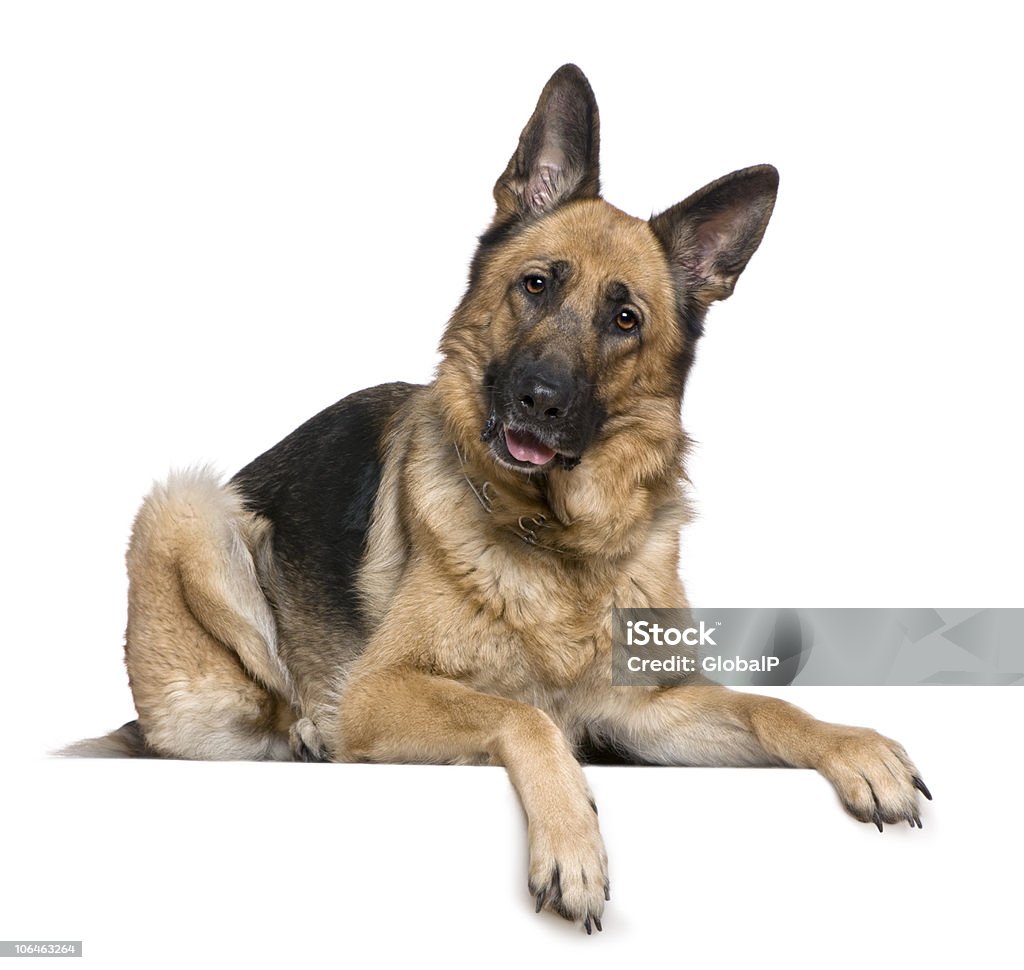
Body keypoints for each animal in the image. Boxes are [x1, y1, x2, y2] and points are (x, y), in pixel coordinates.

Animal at [72, 64, 933, 930]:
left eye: (626, 319)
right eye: (537, 284)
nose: (539, 399)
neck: (554, 537)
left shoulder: (642, 708)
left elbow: (767, 708)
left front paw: (854, 745)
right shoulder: (382, 691)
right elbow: (522, 713)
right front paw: (572, 842)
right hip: (188, 514)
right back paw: (311, 733)